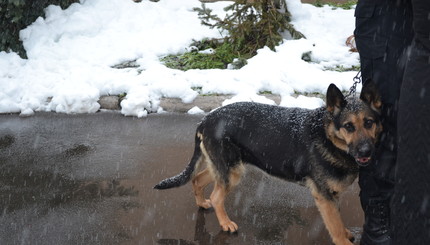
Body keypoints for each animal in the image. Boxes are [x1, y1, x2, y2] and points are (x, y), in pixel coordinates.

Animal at [155, 82, 382, 245]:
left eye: (369, 123)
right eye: (349, 126)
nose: (366, 151)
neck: (327, 135)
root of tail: (205, 120)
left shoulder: (332, 194)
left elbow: (339, 220)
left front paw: (346, 232)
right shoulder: (323, 196)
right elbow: (335, 226)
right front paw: (343, 238)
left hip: (226, 167)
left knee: (197, 179)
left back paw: (202, 203)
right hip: (232, 171)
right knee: (217, 196)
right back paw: (226, 223)